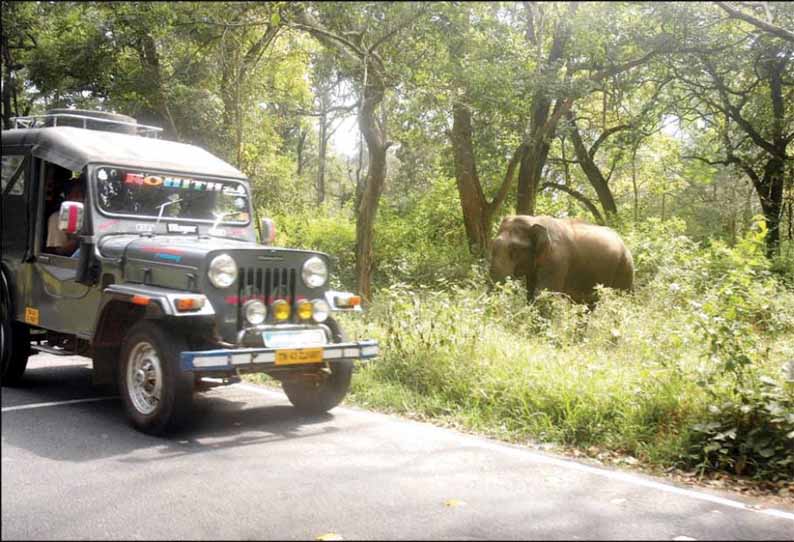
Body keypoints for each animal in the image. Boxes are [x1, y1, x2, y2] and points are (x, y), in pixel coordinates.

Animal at [486, 217, 636, 306]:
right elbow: (531, 294)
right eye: (492, 246)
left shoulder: (557, 260)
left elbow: (545, 295)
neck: (533, 220)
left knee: (620, 301)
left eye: (515, 250)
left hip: (625, 266)